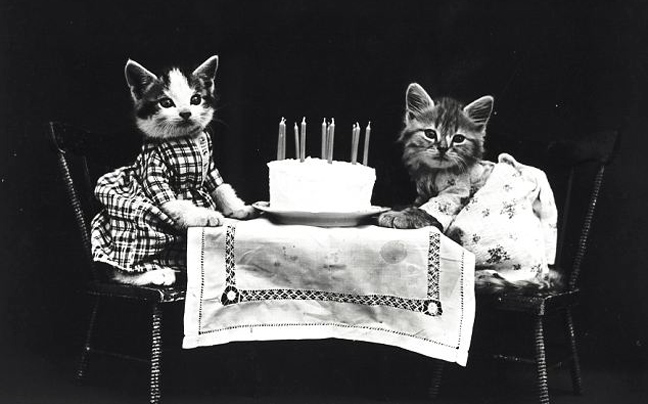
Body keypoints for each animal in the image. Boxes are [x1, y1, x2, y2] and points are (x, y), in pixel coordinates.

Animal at [91, 55, 256, 287]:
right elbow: (177, 203)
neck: (183, 139)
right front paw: (206, 215)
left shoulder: (210, 168)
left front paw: (238, 208)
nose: (186, 113)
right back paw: (153, 274)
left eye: (196, 99)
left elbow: (221, 188)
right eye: (166, 102)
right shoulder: (154, 170)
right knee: (117, 268)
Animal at [378, 83, 561, 293]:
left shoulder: (455, 193)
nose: (443, 148)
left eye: (458, 138)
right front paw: (400, 209)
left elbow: (427, 211)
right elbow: (417, 203)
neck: (434, 172)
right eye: (430, 134)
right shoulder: (424, 192)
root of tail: (545, 276)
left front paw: (399, 216)